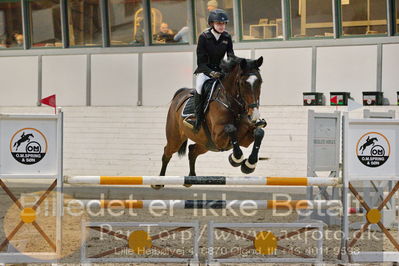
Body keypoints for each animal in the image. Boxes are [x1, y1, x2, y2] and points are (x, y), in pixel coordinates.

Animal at [156, 57, 266, 188]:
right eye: (243, 83)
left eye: (260, 82)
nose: (254, 115)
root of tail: (180, 94)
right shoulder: (218, 138)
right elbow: (231, 128)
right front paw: (236, 159)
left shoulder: (244, 139)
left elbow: (259, 133)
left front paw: (249, 165)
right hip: (176, 138)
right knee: (167, 153)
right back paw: (158, 182)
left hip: (206, 144)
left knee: (192, 151)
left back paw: (191, 178)